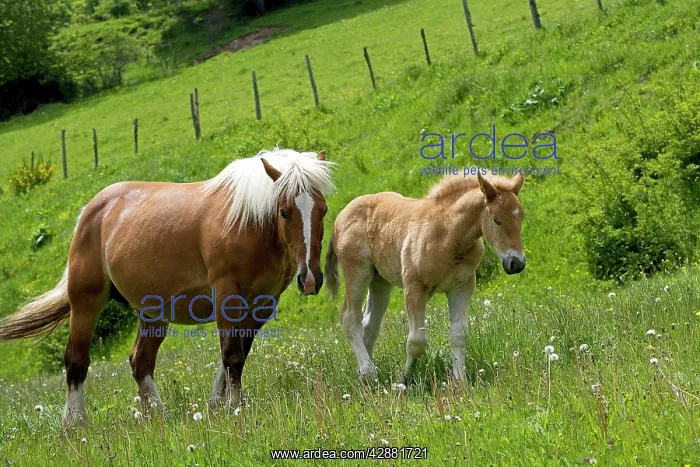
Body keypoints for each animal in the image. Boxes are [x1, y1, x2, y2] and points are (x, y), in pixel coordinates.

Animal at [0, 148, 334, 428]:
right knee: (76, 361)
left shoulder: (261, 304)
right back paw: (74, 423)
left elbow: (236, 355)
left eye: (323, 210)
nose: (310, 278)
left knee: (140, 361)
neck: (249, 222)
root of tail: (90, 211)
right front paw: (233, 408)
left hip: (152, 311)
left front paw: (216, 405)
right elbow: (232, 356)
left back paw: (155, 416)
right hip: (86, 302)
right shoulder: (227, 296)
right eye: (284, 211)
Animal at [324, 172, 525, 384]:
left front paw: (460, 381)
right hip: (357, 272)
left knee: (369, 324)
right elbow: (416, 341)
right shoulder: (415, 288)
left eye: (521, 216)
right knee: (350, 317)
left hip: (380, 281)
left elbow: (459, 334)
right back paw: (368, 372)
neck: (449, 236)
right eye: (496, 220)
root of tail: (340, 217)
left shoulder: (462, 287)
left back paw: (364, 375)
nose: (516, 263)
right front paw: (402, 379)